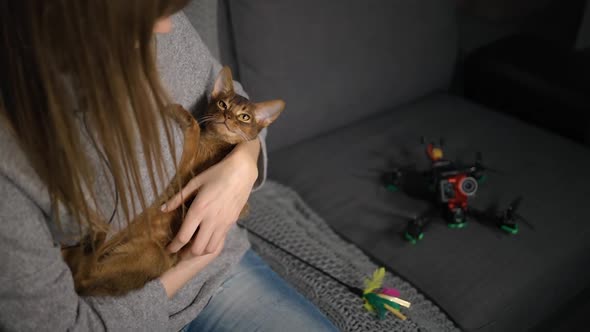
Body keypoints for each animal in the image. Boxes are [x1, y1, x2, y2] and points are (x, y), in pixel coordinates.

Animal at [63, 67, 286, 296]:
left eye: (244, 117)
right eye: (223, 104)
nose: (227, 116)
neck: (214, 144)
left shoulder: (185, 174)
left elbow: (194, 130)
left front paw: (177, 111)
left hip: (152, 253)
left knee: (83, 276)